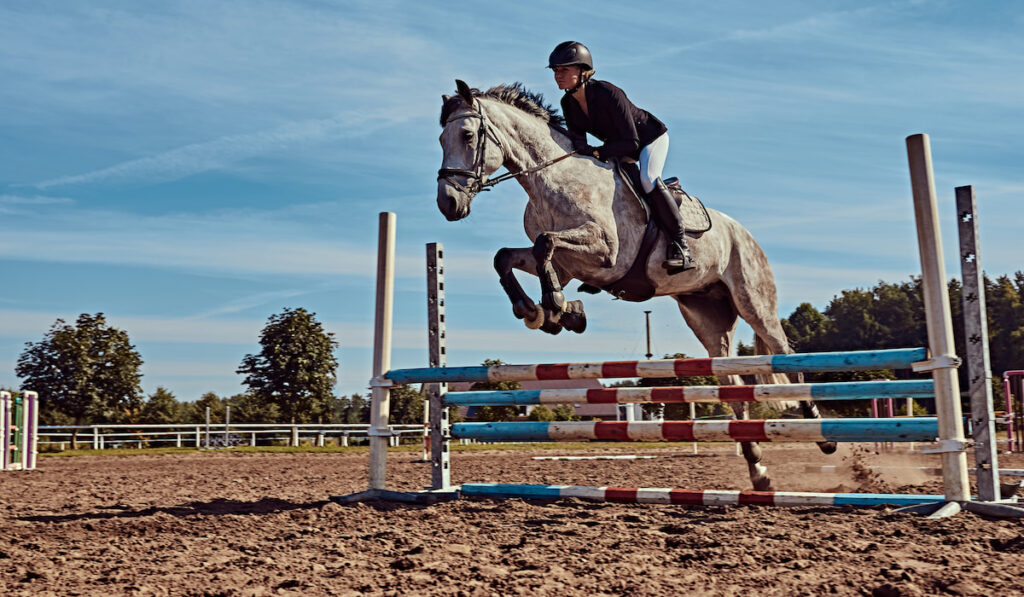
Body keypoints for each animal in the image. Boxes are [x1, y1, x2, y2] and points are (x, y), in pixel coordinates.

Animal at [436, 80, 835, 491]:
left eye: (468, 135)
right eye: (440, 138)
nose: (448, 203)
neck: (554, 181)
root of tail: (745, 234)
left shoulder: (606, 252)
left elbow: (546, 243)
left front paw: (556, 306)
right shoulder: (566, 265)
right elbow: (509, 256)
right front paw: (544, 312)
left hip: (754, 302)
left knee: (786, 357)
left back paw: (822, 435)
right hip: (706, 316)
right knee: (734, 383)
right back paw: (759, 471)